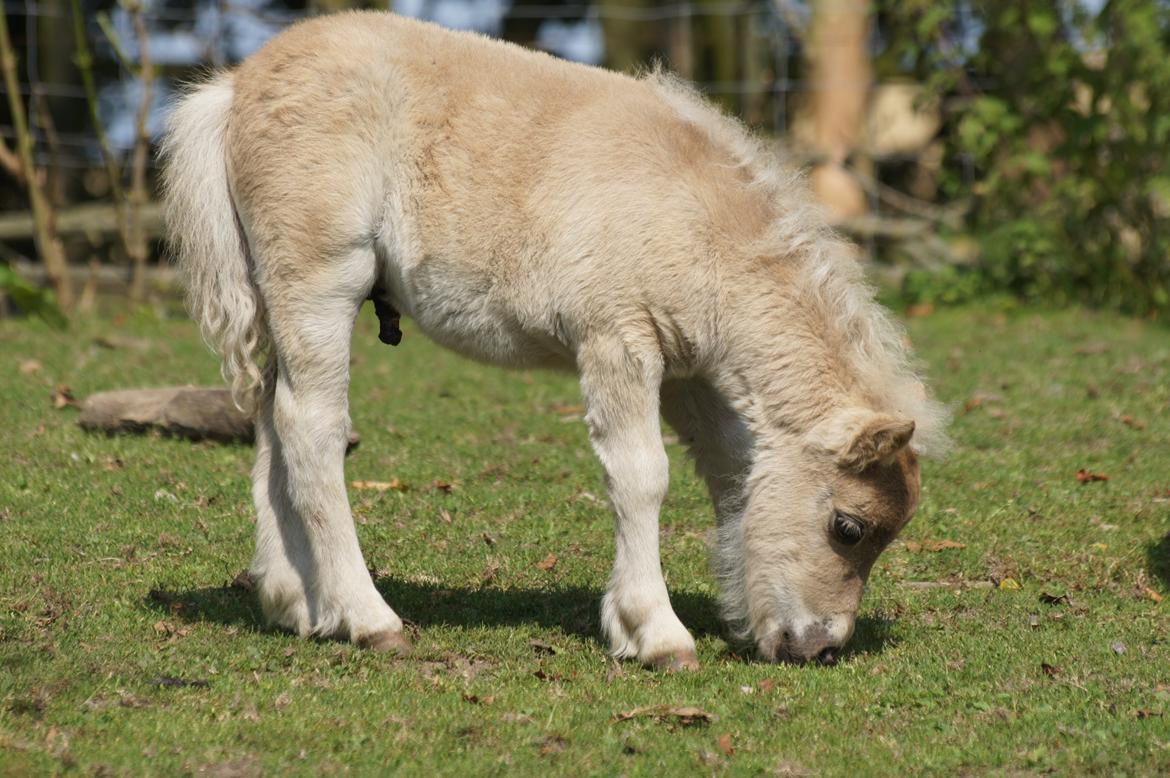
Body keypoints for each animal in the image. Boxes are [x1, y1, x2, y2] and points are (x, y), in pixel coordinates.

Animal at [164, 10, 945, 669]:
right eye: (849, 526)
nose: (819, 647)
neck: (693, 219)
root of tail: (234, 86)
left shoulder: (691, 374)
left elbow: (731, 475)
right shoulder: (617, 338)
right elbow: (642, 476)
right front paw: (655, 634)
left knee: (270, 418)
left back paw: (294, 604)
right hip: (319, 279)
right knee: (311, 427)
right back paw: (367, 617)